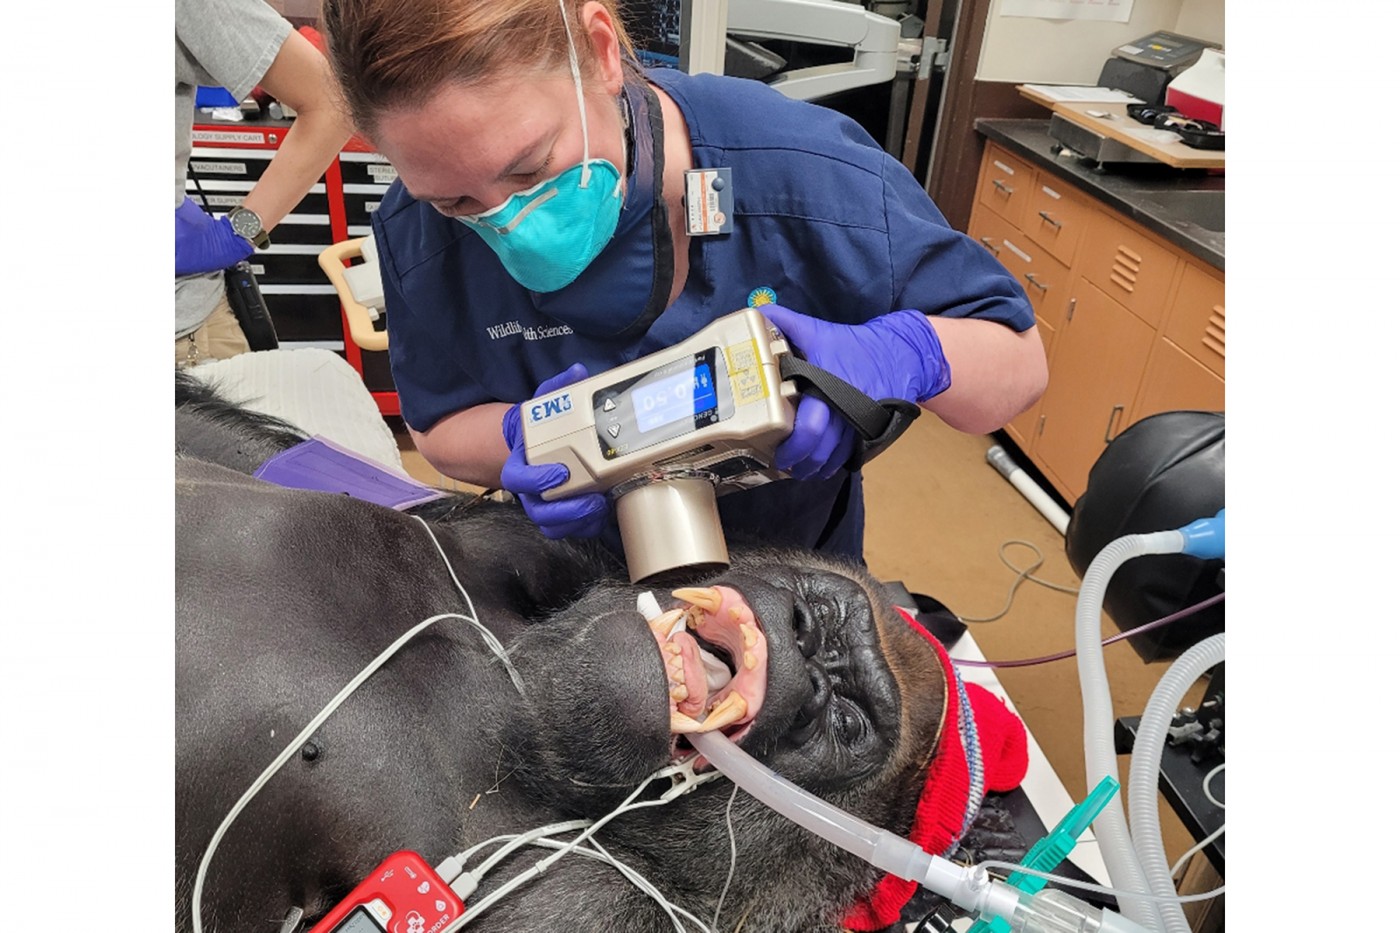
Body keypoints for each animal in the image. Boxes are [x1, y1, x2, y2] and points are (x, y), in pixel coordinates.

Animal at [177, 369, 1030, 930]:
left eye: (847, 719)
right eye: (819, 615)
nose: (798, 634)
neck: (508, 697)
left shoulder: (585, 907)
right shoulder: (521, 543)